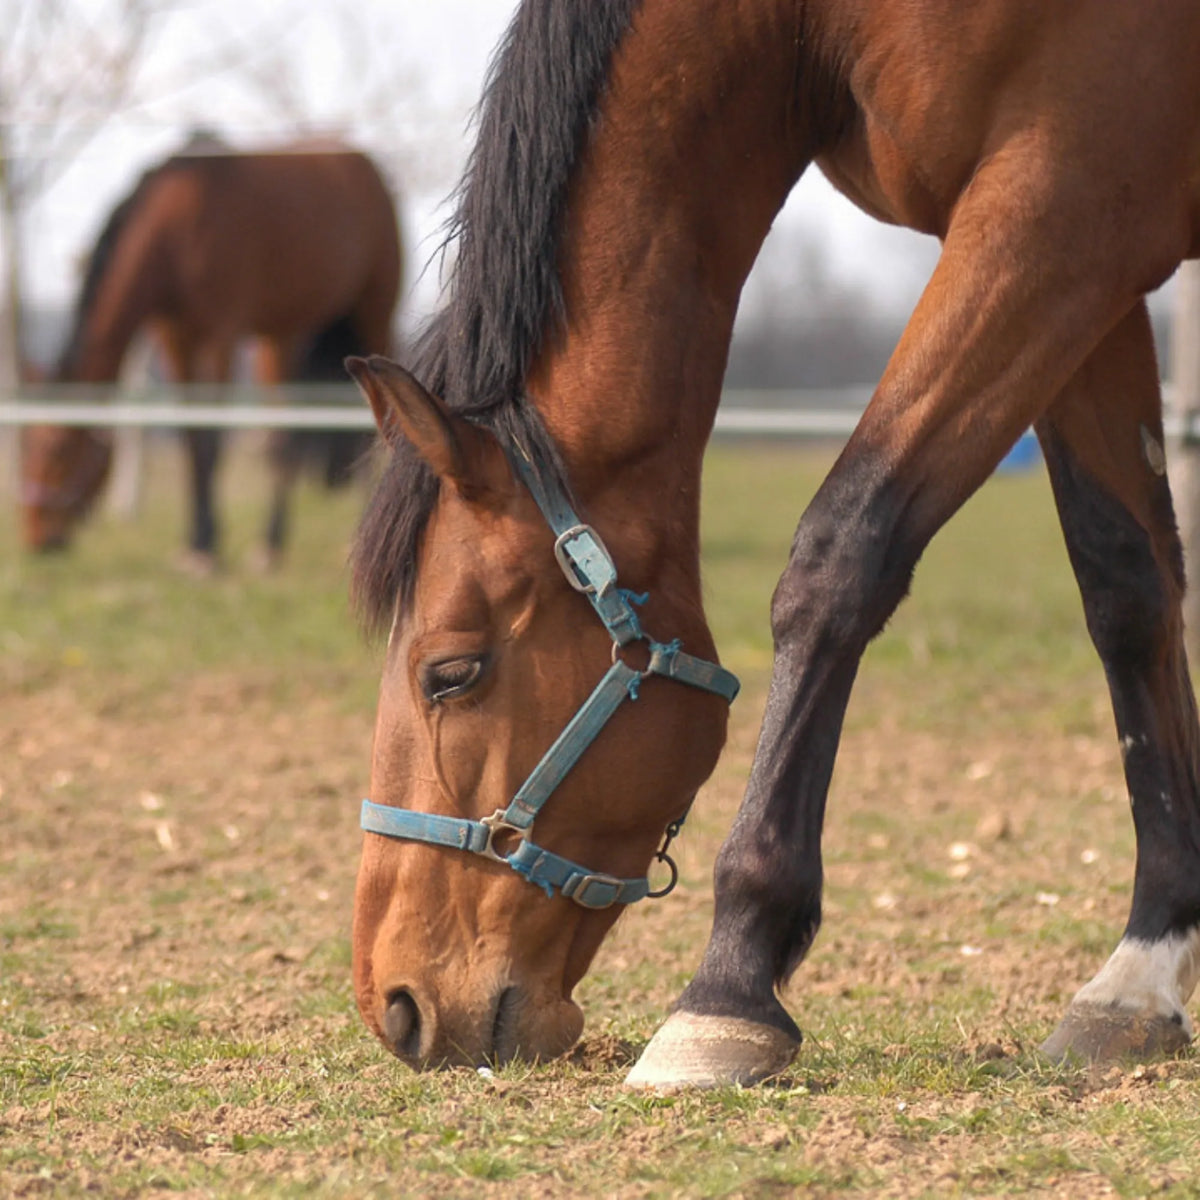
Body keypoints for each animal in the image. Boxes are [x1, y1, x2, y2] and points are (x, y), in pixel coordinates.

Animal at [18, 133, 401, 567]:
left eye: (58, 452)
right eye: (24, 448)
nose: (36, 538)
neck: (178, 226)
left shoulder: (222, 335)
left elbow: (213, 440)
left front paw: (206, 548)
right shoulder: (176, 339)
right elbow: (191, 437)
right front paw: (196, 541)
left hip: (374, 311)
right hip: (283, 334)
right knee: (285, 436)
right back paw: (271, 543)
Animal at [347, 0, 1200, 1086]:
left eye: (450, 674)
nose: (397, 1003)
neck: (817, 28)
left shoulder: (1060, 206)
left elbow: (841, 551)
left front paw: (728, 985)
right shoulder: (1098, 252)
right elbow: (1127, 586)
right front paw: (1139, 973)